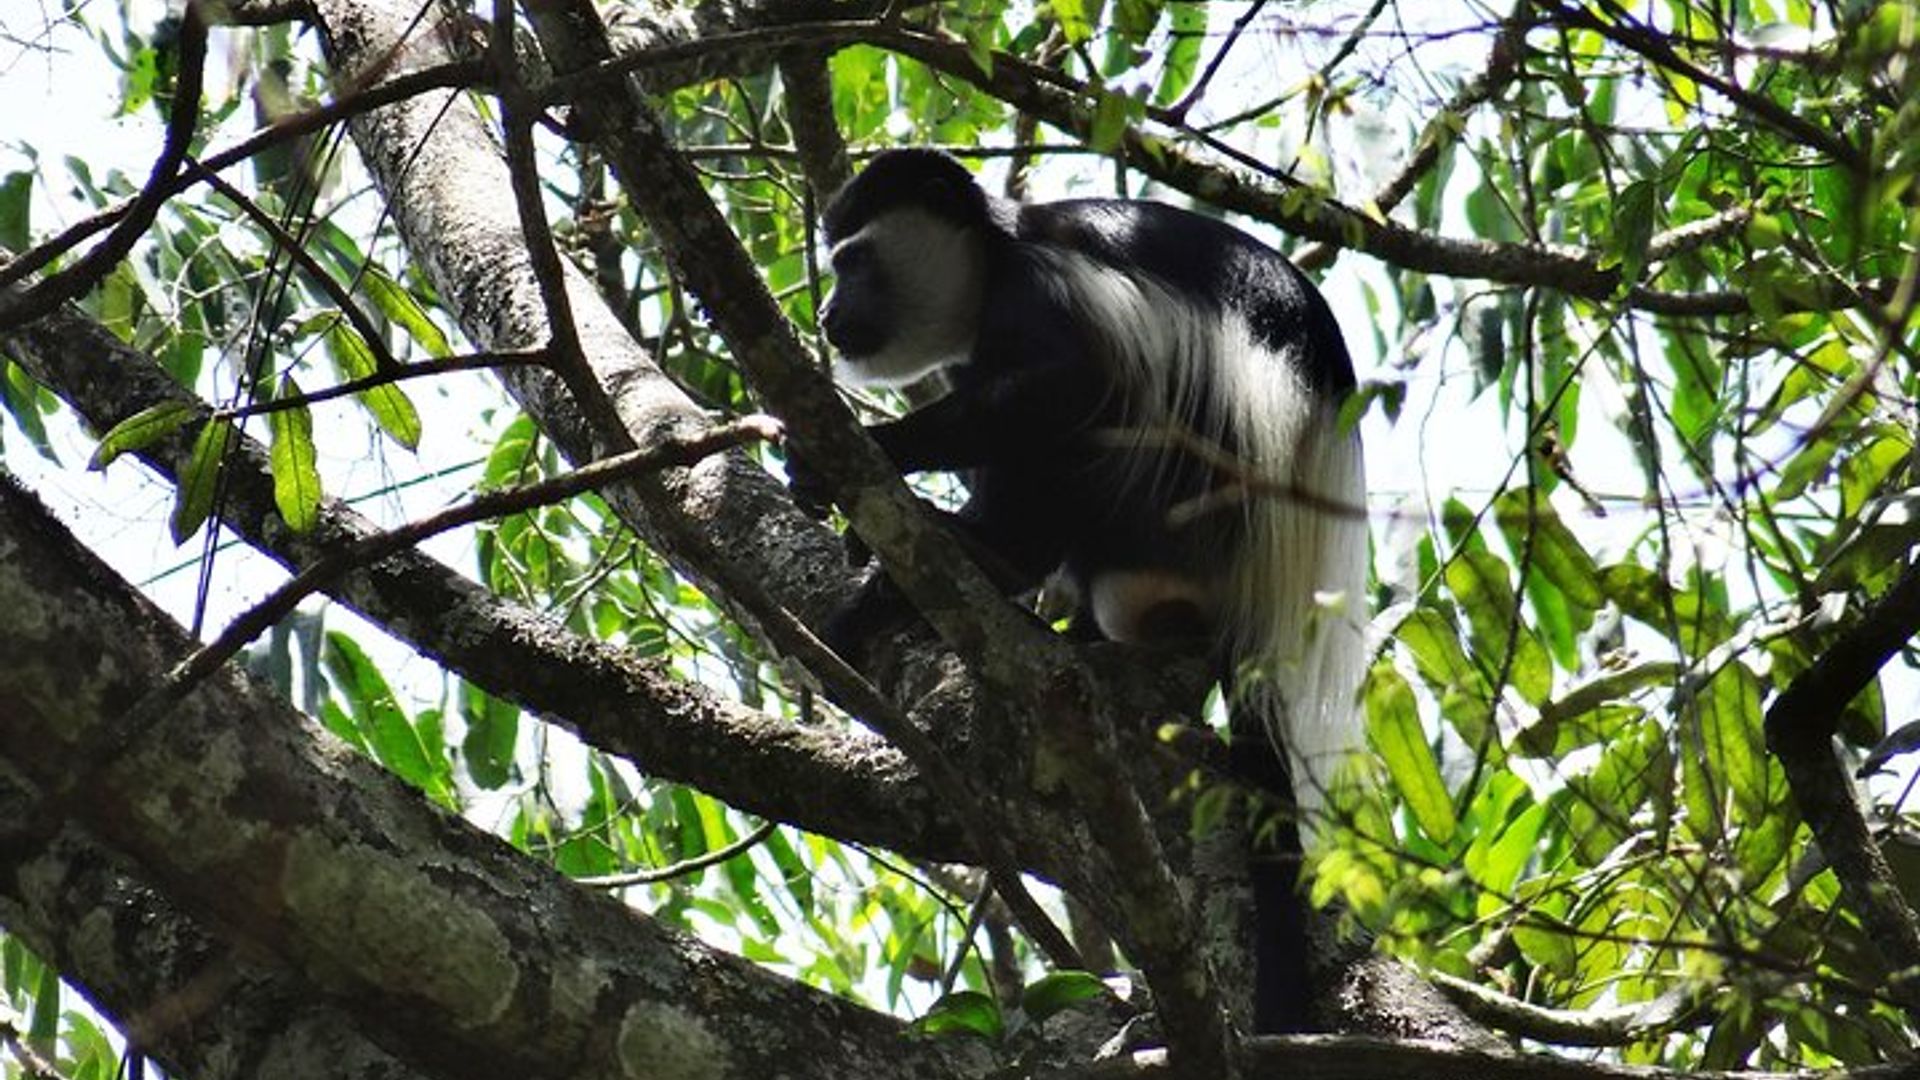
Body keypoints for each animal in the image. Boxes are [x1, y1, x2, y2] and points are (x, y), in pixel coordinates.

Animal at [789, 149, 1367, 1031]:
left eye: (855, 262)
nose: (826, 312)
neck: (998, 253)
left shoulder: (1047, 287)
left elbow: (1072, 383)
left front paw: (880, 450)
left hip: (1184, 500)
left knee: (1092, 420)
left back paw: (972, 560)